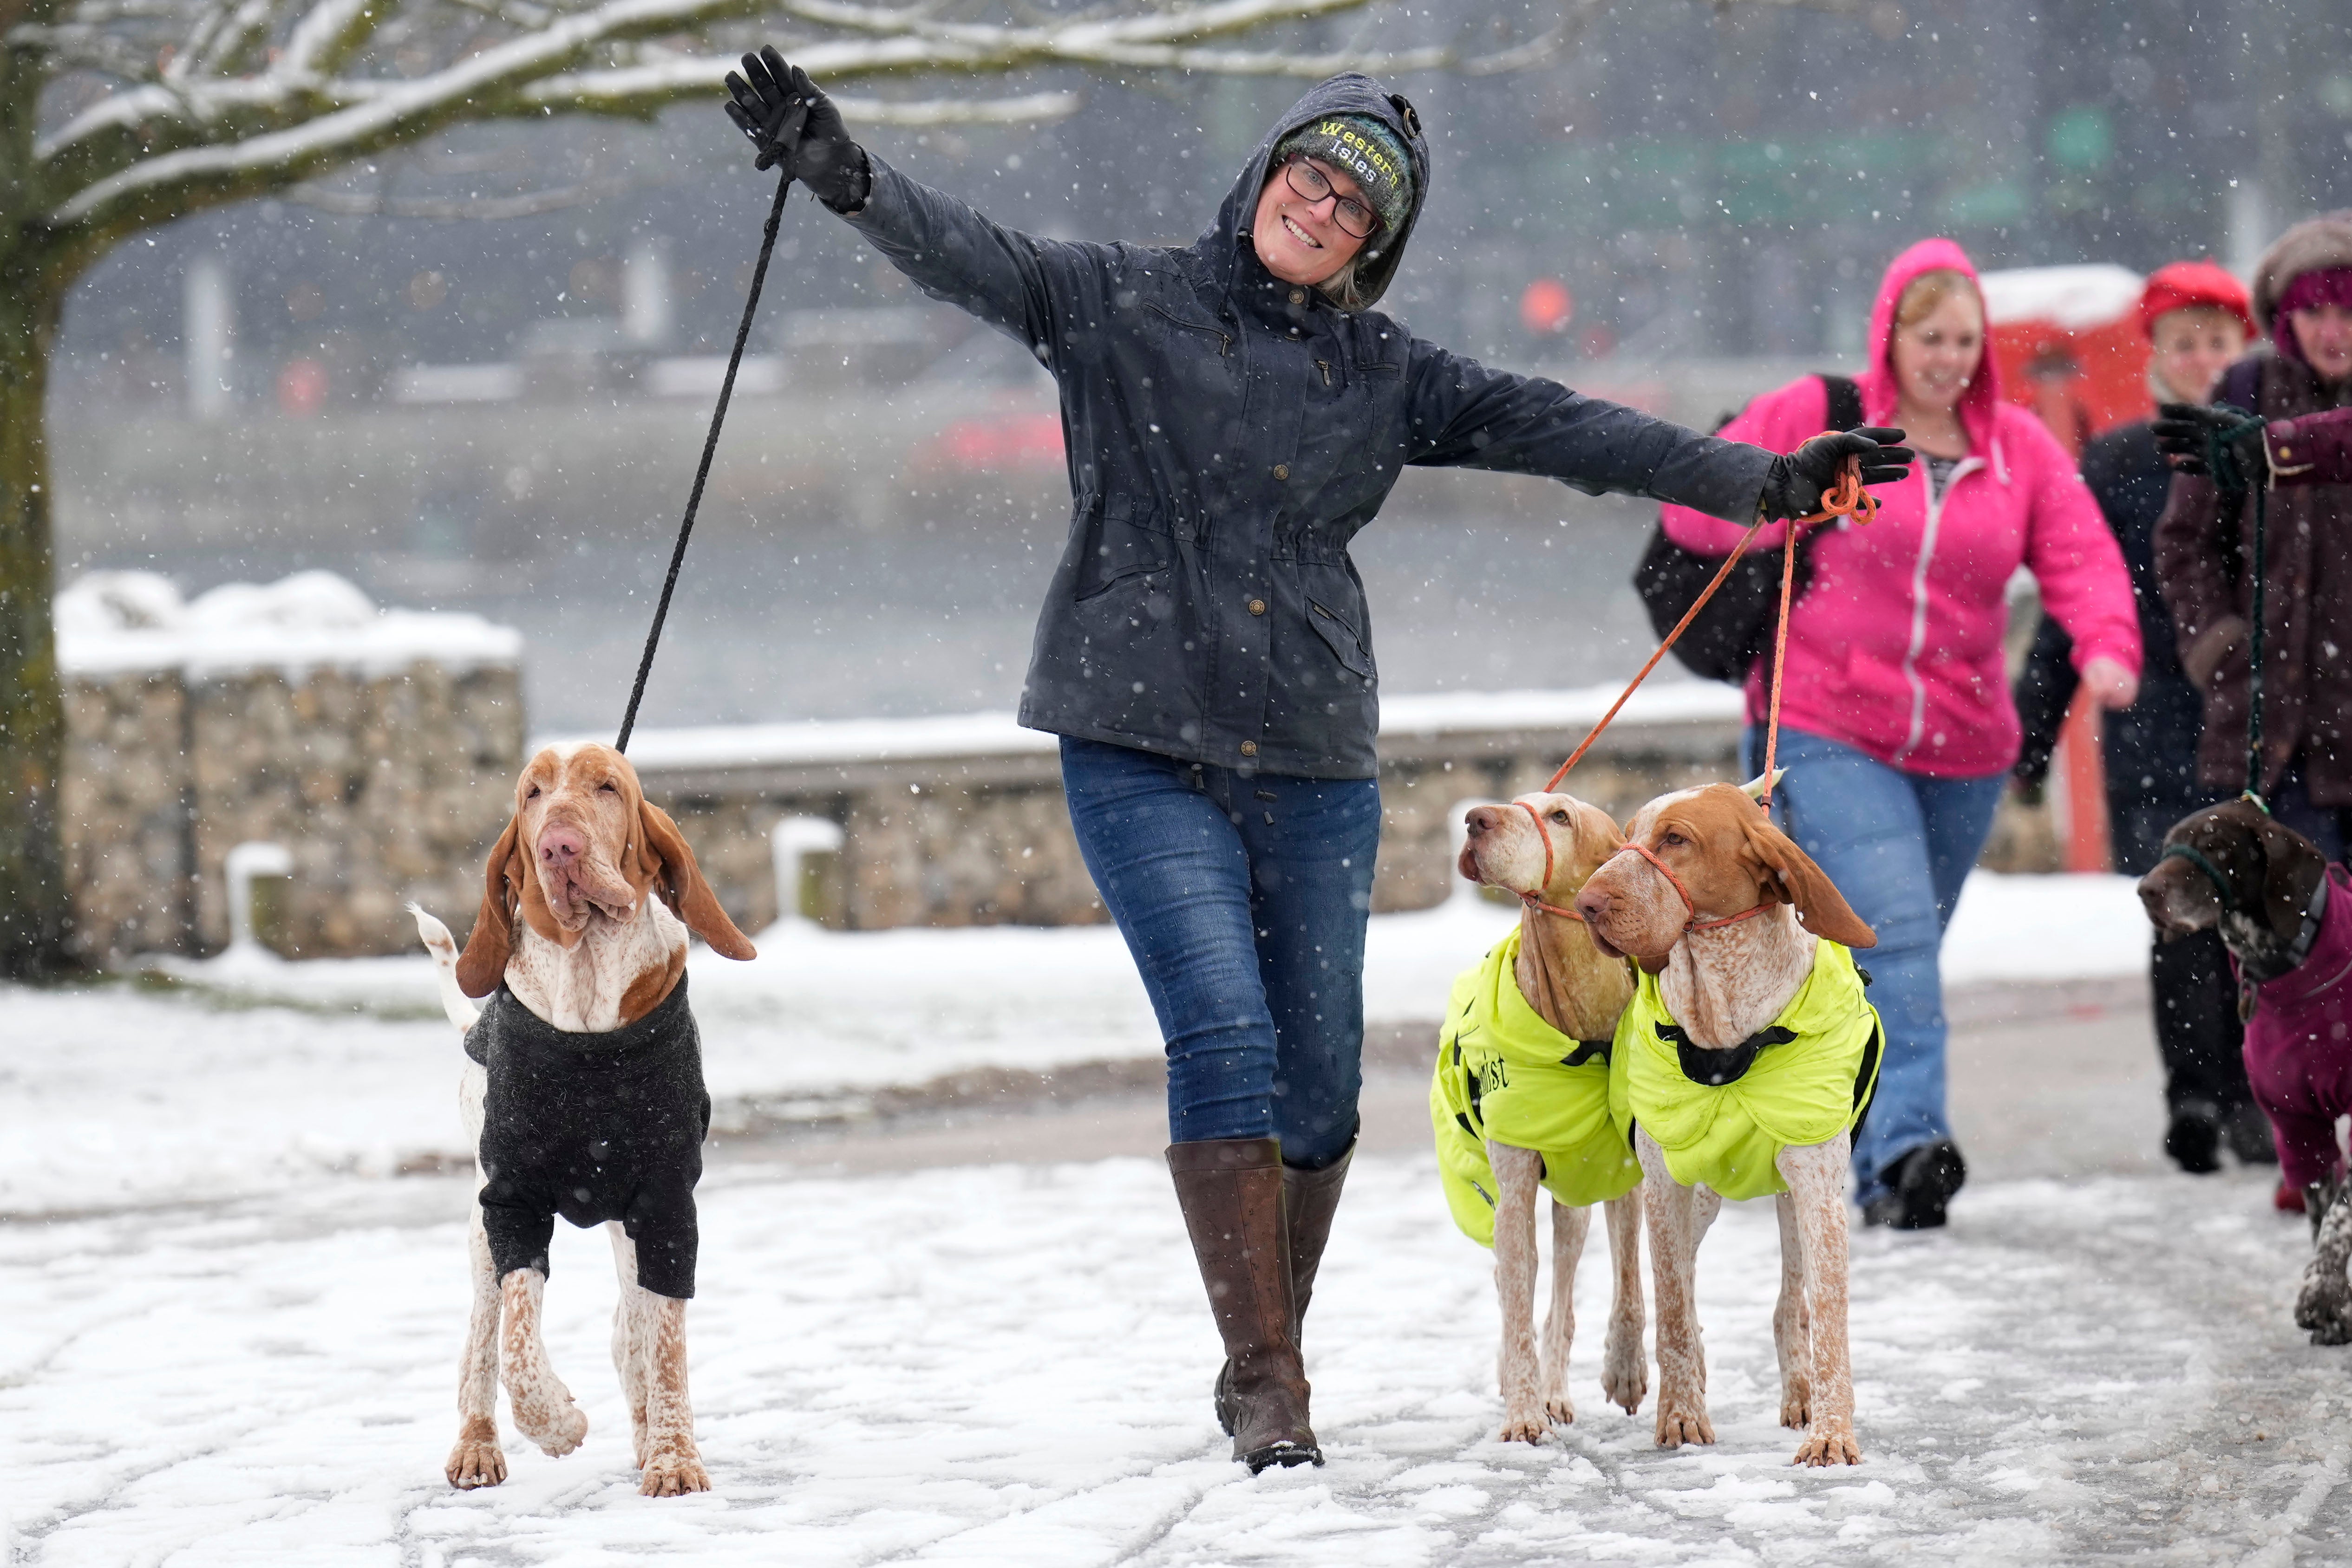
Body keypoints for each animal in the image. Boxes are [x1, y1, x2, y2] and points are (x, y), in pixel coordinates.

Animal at [409, 742, 757, 1504]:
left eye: (607, 787)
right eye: (532, 794)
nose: (558, 847)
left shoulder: (665, 1205)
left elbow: (664, 1347)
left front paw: (672, 1457)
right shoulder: (510, 1202)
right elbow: (516, 1342)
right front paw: (557, 1423)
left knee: (632, 1334)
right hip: (478, 1233)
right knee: (480, 1345)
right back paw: (477, 1446)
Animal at [1430, 799, 1656, 1448]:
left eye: (1560, 815)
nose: (1475, 818)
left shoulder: (1626, 1178)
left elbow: (1629, 1284)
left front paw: (1625, 1368)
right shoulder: (1512, 1191)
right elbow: (1517, 1304)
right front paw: (1523, 1408)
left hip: (1574, 1204)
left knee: (1560, 1296)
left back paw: (1557, 1389)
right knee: (1520, 1285)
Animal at [1571, 785, 1882, 1476]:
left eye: (1676, 839)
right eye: (1628, 836)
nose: (1586, 904)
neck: (1727, 1029)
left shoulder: (1818, 1187)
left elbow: (1828, 1320)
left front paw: (1831, 1433)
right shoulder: (1666, 1187)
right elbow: (1673, 1312)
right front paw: (1681, 1415)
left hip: (1787, 1199)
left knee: (1790, 1305)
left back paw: (1799, 1394)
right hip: (1697, 1199)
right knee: (1664, 1290)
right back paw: (1633, 1362)